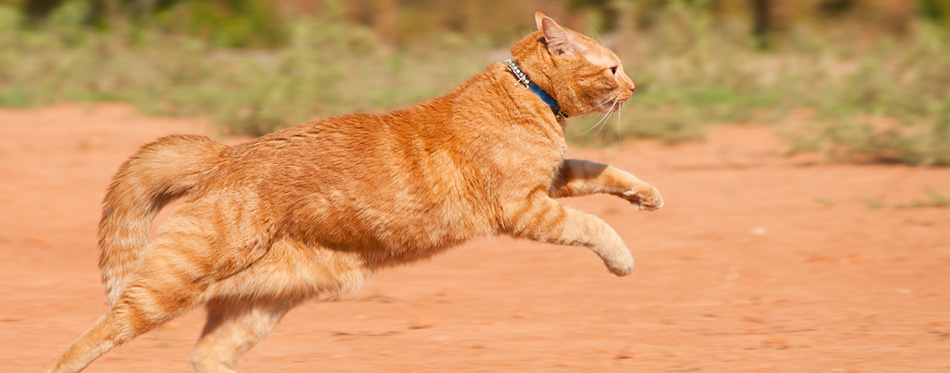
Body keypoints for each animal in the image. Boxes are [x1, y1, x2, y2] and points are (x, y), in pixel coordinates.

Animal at [50, 12, 660, 372]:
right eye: (612, 68)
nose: (634, 85)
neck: (529, 94)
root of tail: (225, 154)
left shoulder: (555, 179)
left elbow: (602, 168)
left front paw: (647, 195)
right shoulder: (525, 207)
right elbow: (593, 225)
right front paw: (624, 259)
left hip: (259, 304)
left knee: (208, 353)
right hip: (171, 284)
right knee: (92, 337)